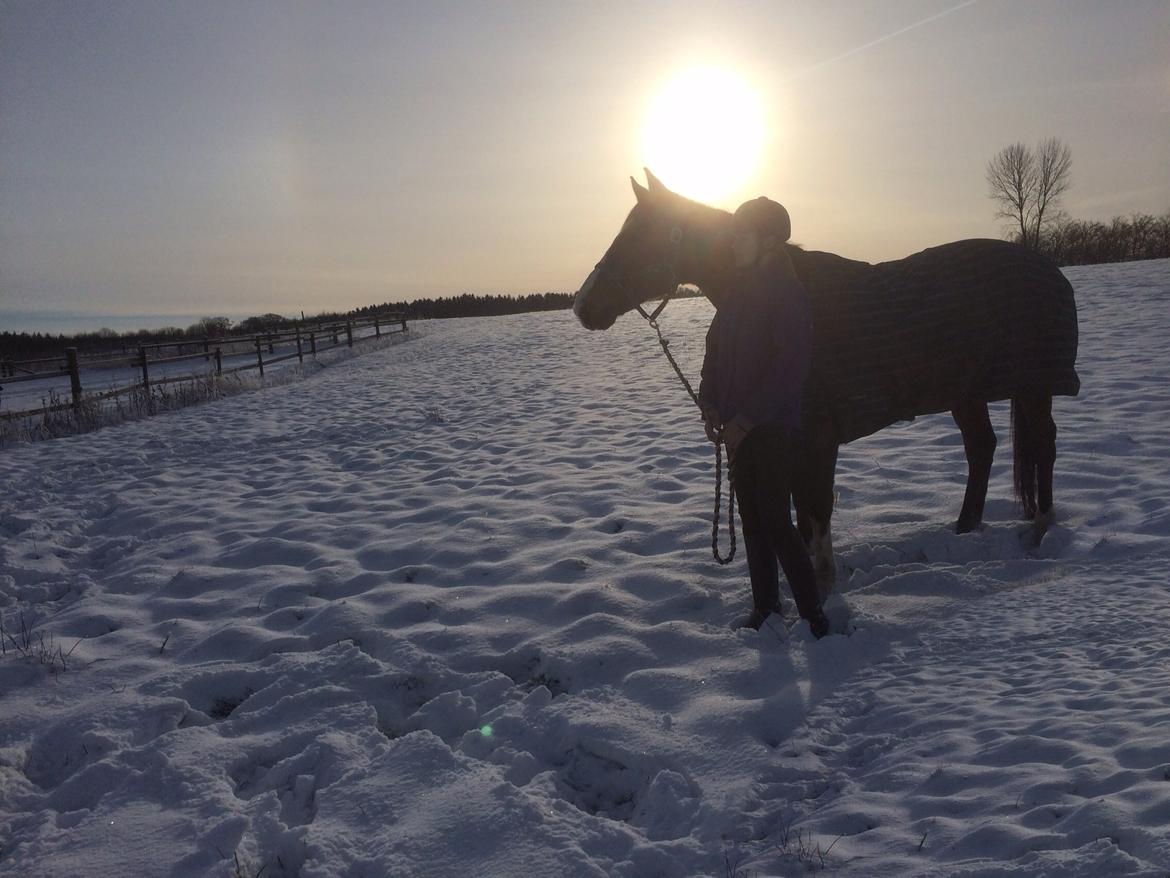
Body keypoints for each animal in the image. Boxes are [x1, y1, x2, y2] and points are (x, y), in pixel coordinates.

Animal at [573, 169, 1076, 599]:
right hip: (966, 392)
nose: (582, 305)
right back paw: (965, 528)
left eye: (638, 236)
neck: (796, 295)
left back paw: (1041, 526)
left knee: (1043, 444)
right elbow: (803, 513)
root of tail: (1048, 267)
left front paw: (824, 584)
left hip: (1034, 387)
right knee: (981, 447)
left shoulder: (817, 438)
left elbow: (815, 508)